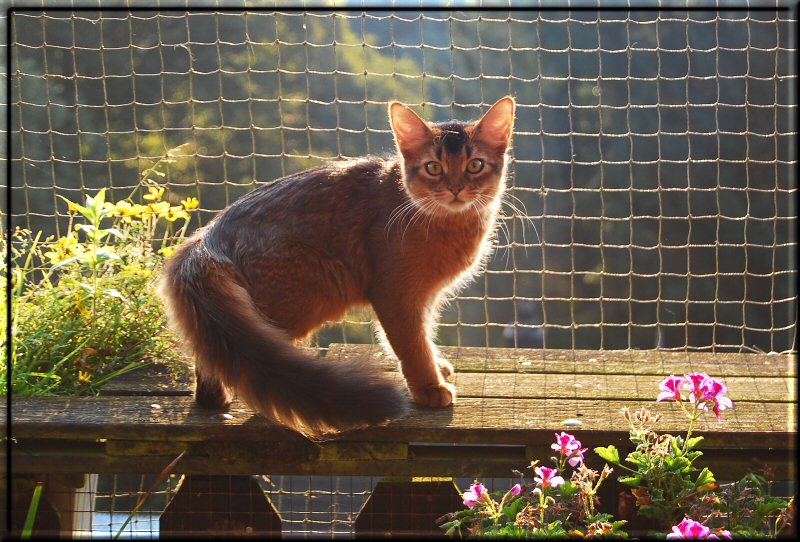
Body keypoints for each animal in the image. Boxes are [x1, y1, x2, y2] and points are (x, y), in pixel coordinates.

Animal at [159, 95, 516, 440]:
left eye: (474, 165)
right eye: (433, 167)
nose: (456, 188)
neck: (448, 222)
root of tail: (206, 238)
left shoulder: (425, 296)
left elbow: (423, 334)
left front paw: (437, 367)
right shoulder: (395, 293)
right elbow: (411, 345)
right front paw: (429, 387)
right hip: (311, 288)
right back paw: (219, 398)